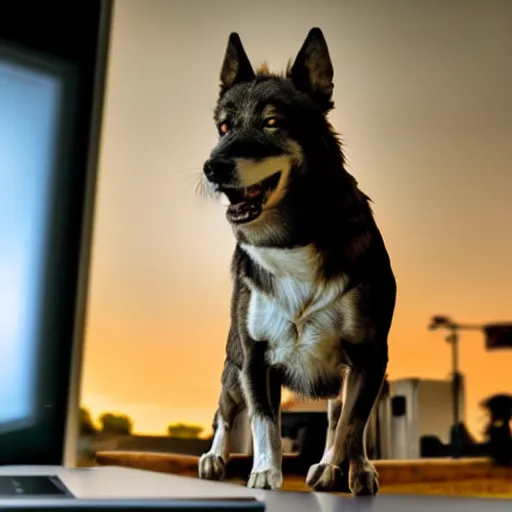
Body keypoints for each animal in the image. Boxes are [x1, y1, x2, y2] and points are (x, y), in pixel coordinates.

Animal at [196, 27, 396, 496]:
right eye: (224, 127)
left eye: (272, 122)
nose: (212, 167)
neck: (291, 242)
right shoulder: (254, 355)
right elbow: (265, 422)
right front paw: (265, 473)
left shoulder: (369, 356)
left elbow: (352, 423)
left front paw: (353, 471)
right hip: (232, 365)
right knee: (224, 411)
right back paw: (214, 457)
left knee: (336, 417)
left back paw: (332, 465)